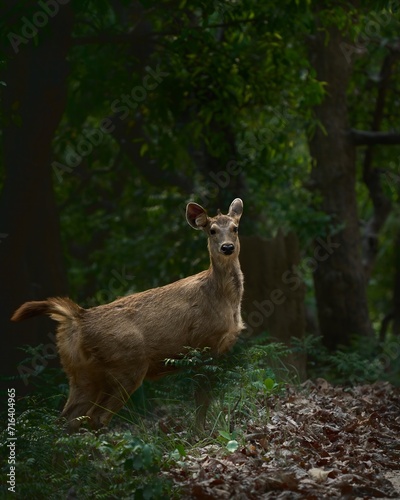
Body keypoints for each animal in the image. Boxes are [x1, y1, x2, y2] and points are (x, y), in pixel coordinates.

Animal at [10, 197, 244, 432]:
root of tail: (78, 317)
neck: (223, 299)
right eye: (212, 230)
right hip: (127, 365)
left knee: (67, 419)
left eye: (235, 228)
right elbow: (201, 398)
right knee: (96, 417)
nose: (227, 247)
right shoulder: (203, 345)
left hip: (81, 373)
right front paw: (202, 433)